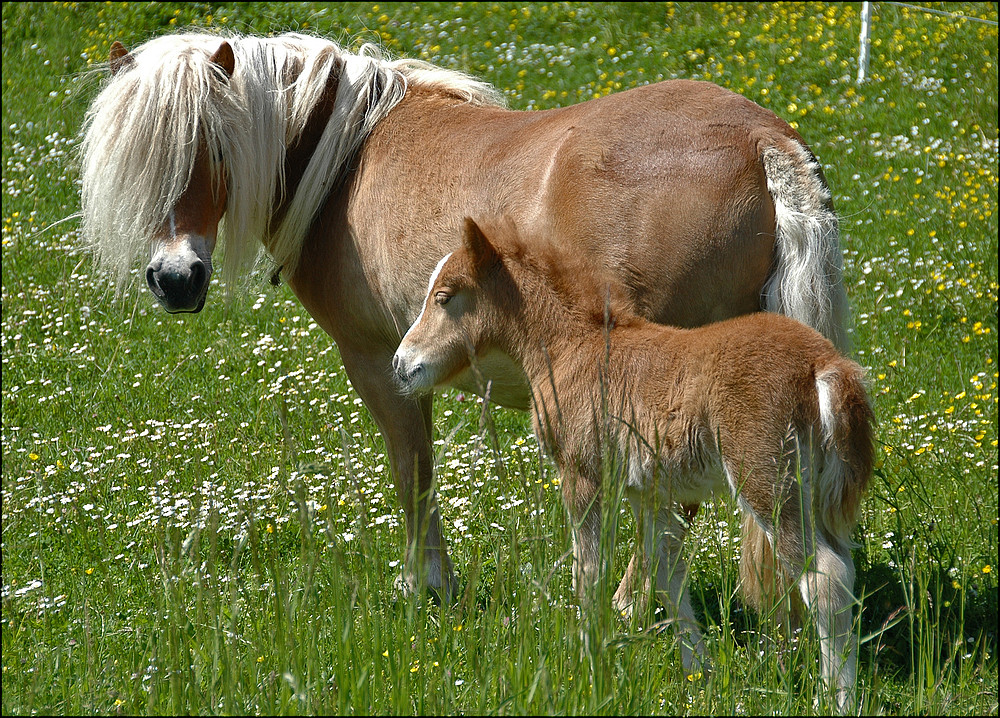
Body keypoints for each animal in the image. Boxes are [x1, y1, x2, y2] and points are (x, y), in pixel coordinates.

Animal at [78, 32, 848, 608]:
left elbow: (413, 472)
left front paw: (430, 588)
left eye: (210, 147)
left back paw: (631, 605)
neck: (347, 158)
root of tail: (760, 141)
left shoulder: (376, 362)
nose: (175, 280)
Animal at [394, 217, 872, 712]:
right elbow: (665, 575)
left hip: (767, 484)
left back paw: (837, 700)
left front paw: (588, 667)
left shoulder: (582, 476)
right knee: (842, 568)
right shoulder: (652, 493)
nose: (402, 364)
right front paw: (697, 674)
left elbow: (589, 573)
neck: (572, 346)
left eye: (444, 296)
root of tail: (824, 365)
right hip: (816, 495)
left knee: (825, 579)